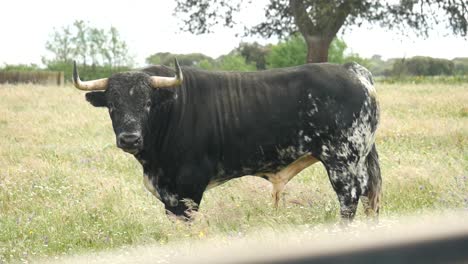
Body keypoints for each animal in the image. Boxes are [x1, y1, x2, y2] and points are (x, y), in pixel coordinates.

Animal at [72, 58, 380, 222]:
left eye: (147, 103)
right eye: (112, 105)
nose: (129, 139)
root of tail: (351, 69)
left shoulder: (189, 188)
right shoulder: (169, 195)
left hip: (343, 162)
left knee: (349, 200)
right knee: (370, 197)